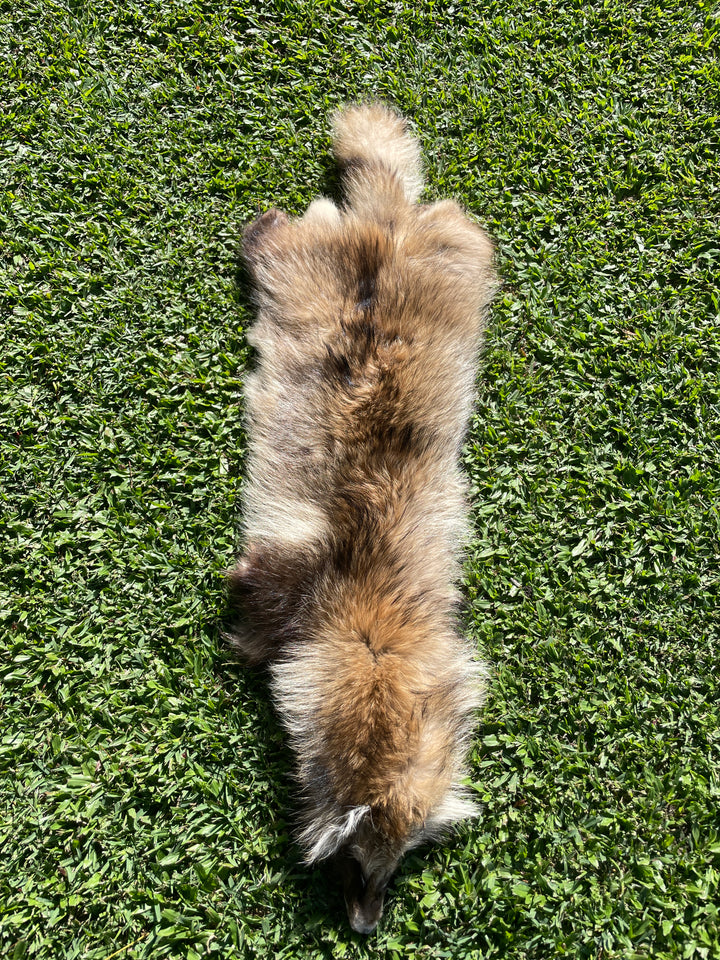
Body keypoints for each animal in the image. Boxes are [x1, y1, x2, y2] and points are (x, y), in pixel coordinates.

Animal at [227, 103, 497, 933]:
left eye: (395, 868)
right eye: (356, 866)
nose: (365, 928)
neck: (374, 643)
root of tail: (388, 227)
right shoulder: (293, 583)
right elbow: (258, 602)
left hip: (450, 251)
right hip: (309, 270)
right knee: (282, 239)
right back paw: (265, 227)